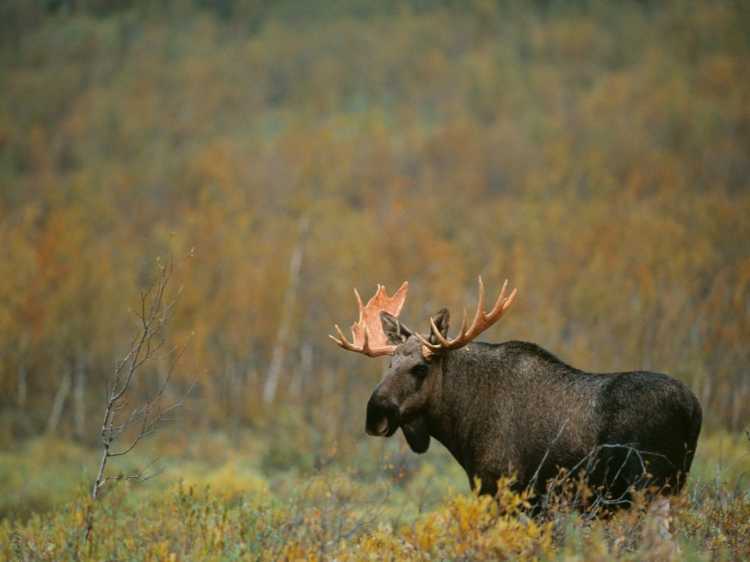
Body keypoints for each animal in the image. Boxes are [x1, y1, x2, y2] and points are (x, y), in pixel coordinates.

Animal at [330, 278, 704, 510]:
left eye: (421, 368)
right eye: (389, 363)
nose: (375, 414)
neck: (459, 425)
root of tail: (694, 408)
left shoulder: (505, 489)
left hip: (649, 486)